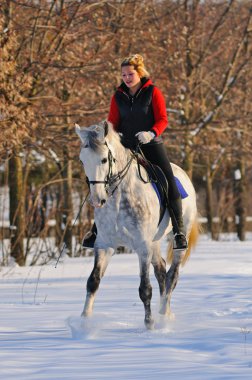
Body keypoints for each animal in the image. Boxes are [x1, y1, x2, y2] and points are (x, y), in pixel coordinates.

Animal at [76, 121, 198, 330]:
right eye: (83, 161)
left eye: (104, 160)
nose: (97, 200)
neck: (118, 199)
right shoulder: (104, 245)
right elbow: (93, 281)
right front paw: (84, 322)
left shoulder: (142, 247)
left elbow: (144, 289)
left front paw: (149, 325)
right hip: (154, 241)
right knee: (161, 271)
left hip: (177, 237)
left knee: (172, 275)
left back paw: (164, 313)